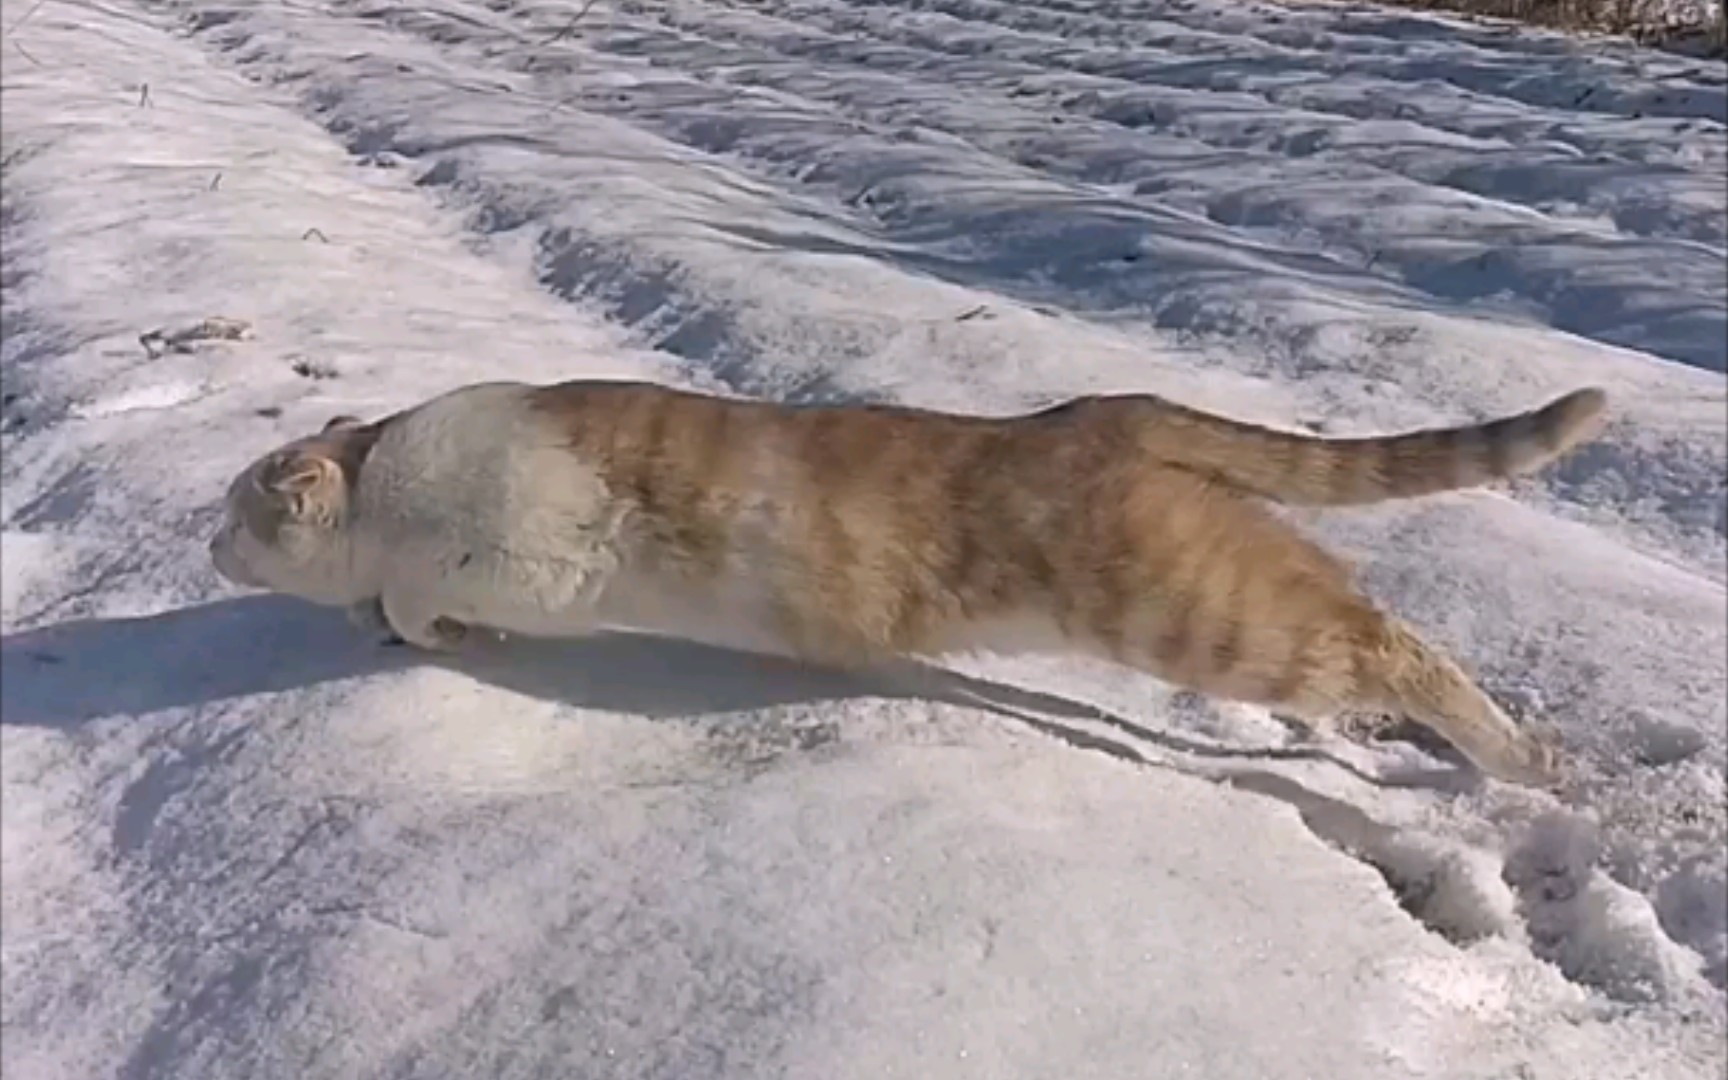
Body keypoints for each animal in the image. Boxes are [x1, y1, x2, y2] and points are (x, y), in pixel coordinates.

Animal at [212, 378, 1603, 784]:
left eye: (235, 515)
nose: (208, 547)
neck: (378, 469)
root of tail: (1093, 415)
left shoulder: (511, 552)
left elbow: (418, 597)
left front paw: (424, 634)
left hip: (1207, 612)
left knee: (1386, 643)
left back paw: (1520, 762)